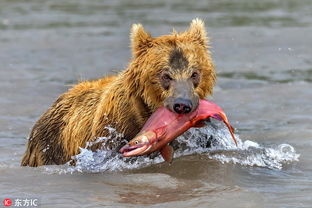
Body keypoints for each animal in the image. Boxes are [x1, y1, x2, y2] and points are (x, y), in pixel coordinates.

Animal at [20, 18, 216, 167]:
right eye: (166, 75)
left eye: (194, 73)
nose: (182, 104)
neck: (147, 113)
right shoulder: (112, 132)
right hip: (48, 147)